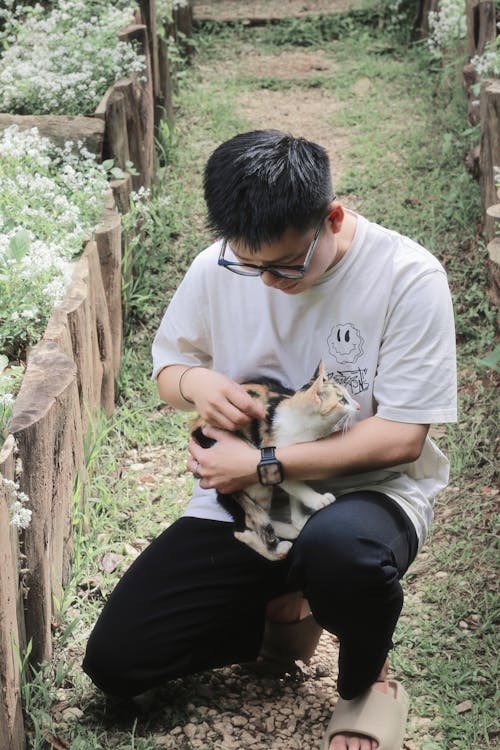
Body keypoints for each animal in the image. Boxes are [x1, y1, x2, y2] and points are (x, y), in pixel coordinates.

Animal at [191, 362, 360, 560]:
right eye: (342, 401)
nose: (358, 406)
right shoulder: (274, 463)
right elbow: (295, 486)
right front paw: (318, 500)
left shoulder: (302, 463)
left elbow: (295, 494)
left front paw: (299, 519)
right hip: (254, 480)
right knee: (245, 525)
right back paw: (279, 549)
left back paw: (289, 530)